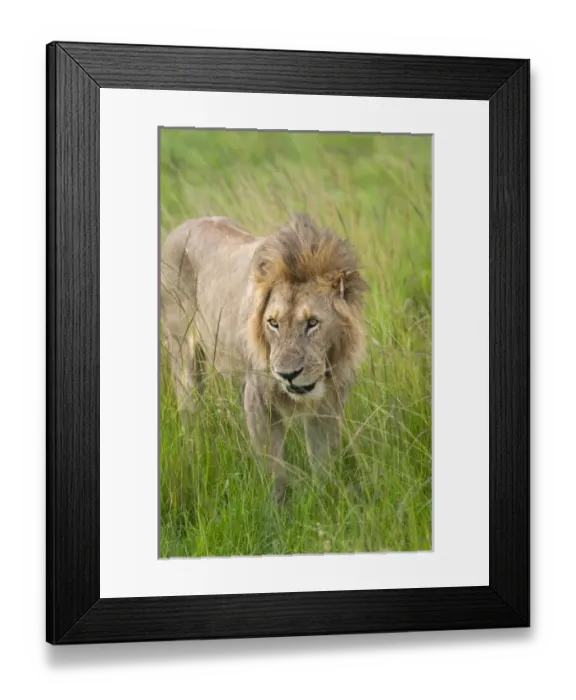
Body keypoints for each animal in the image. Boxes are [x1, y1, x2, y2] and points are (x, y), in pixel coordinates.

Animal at [160, 213, 368, 500]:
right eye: (273, 323)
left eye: (313, 323)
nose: (287, 375)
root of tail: (181, 227)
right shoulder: (257, 398)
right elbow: (274, 469)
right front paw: (280, 508)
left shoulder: (329, 404)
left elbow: (323, 462)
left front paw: (325, 499)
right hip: (184, 352)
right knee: (190, 415)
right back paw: (194, 458)